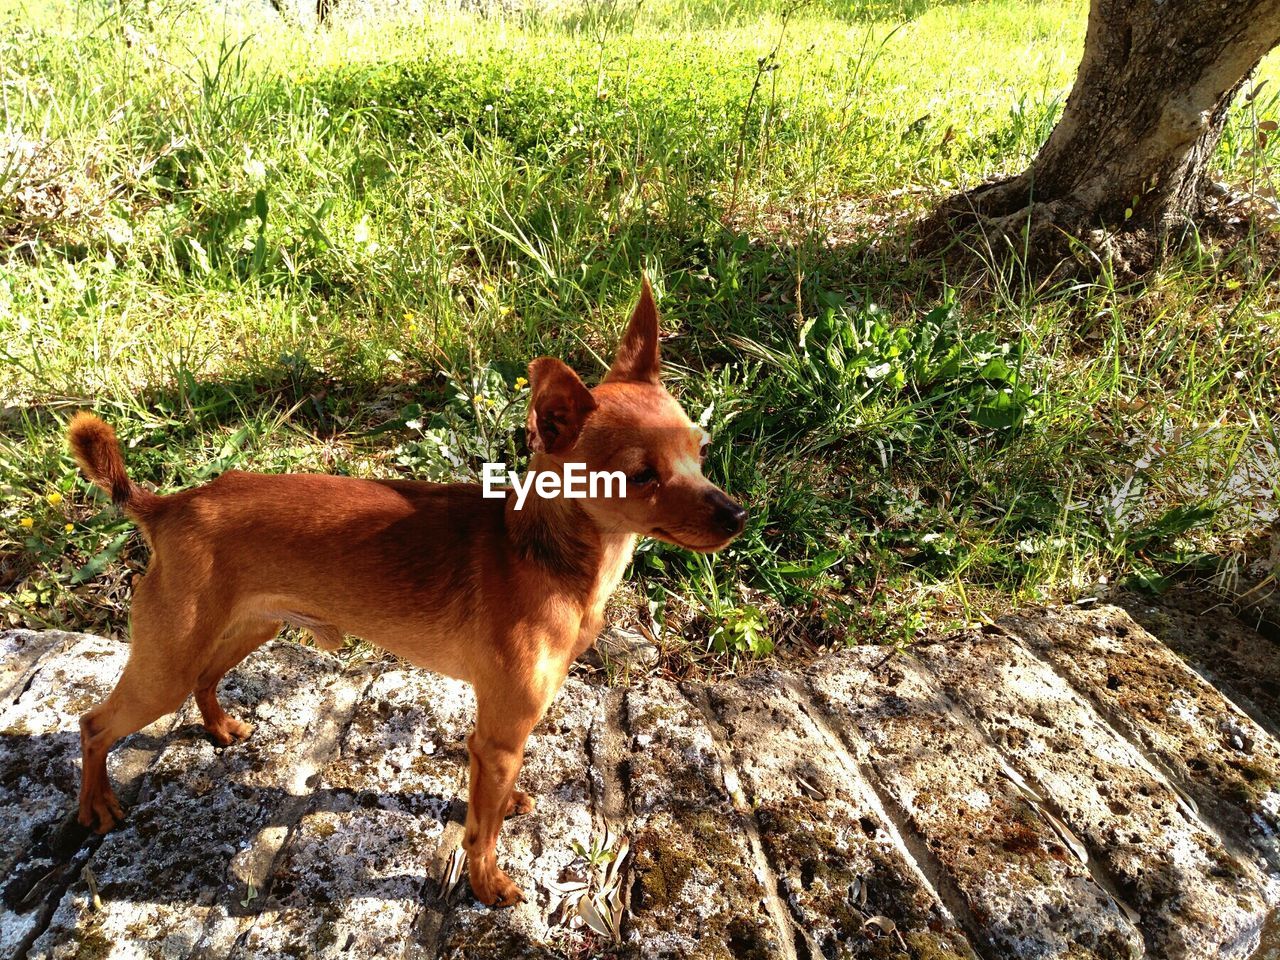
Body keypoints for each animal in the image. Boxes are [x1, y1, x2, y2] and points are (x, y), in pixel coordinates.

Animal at [70, 280, 747, 911]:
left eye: (701, 451)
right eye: (642, 476)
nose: (737, 515)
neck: (546, 551)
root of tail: (170, 506)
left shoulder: (502, 739)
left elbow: (491, 803)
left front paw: (507, 805)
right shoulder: (498, 736)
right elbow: (481, 831)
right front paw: (486, 883)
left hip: (248, 627)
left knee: (204, 678)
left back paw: (218, 727)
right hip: (166, 665)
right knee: (95, 723)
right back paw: (96, 804)